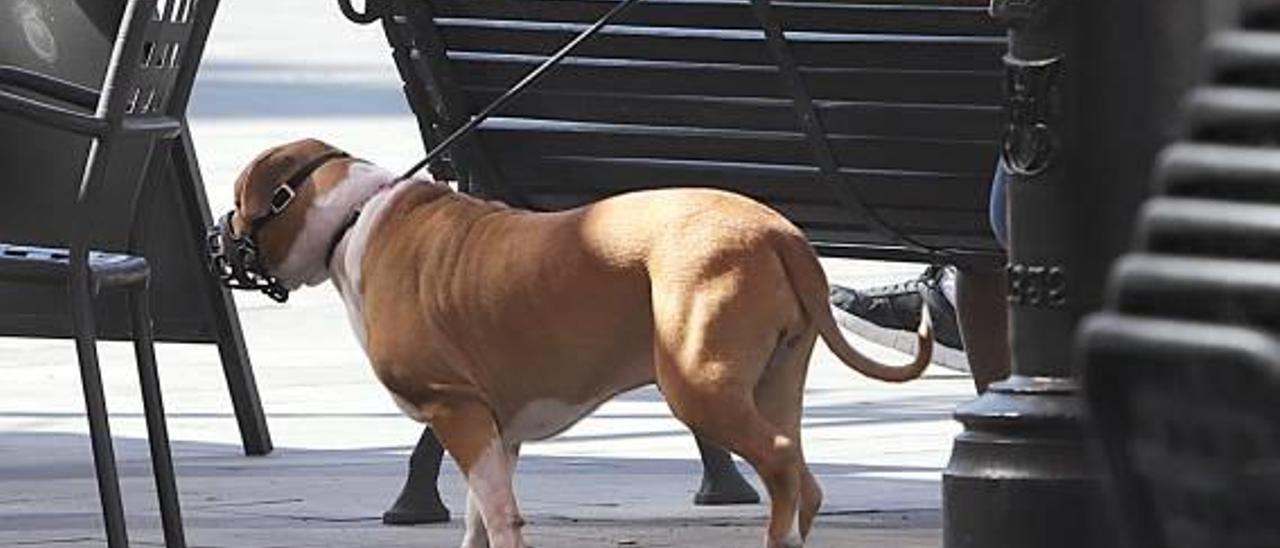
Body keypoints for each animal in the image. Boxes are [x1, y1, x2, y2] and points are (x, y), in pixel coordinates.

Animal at [230, 138, 931, 545]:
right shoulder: (494, 428)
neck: (350, 218)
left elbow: (497, 513)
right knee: (800, 473)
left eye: (237, 199)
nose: (221, 236)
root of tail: (778, 232)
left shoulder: (455, 408)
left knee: (782, 463)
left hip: (700, 385)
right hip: (778, 377)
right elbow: (482, 513)